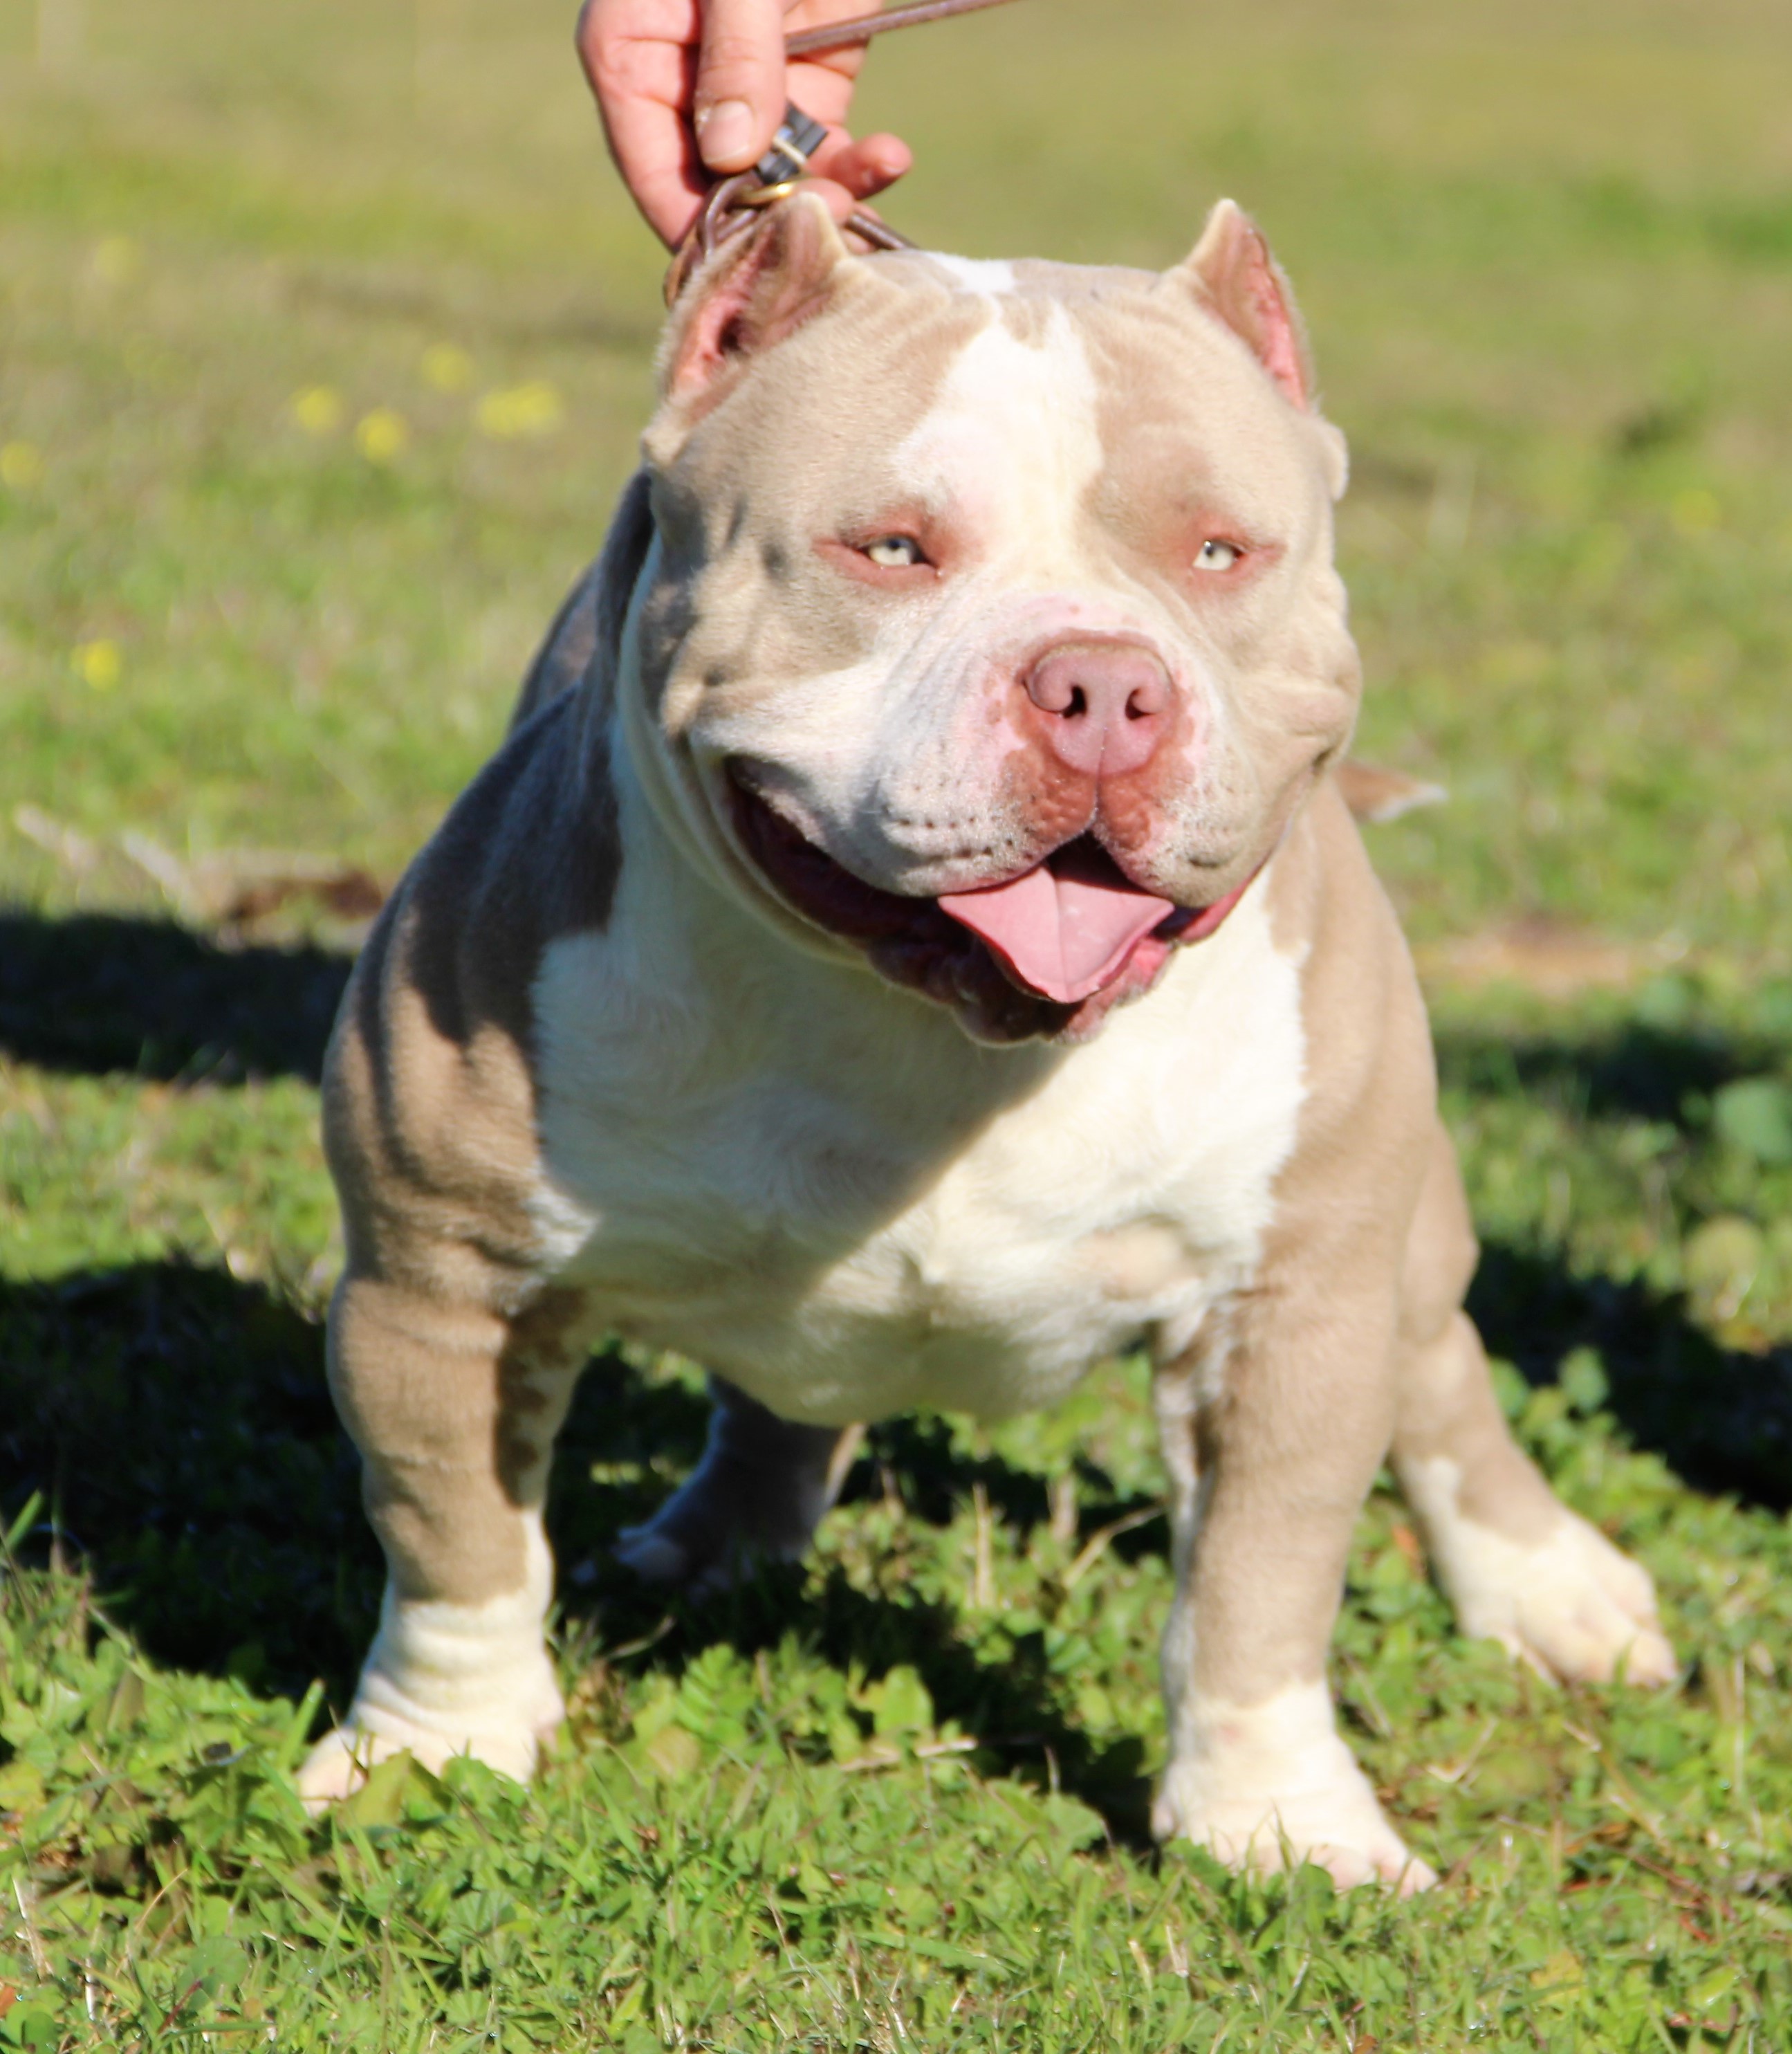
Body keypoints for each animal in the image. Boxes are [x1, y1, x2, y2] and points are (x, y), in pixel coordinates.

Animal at [297, 200, 1674, 1881]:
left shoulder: (1286, 1309)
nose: (1102, 684)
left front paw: (1278, 1819)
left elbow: (1258, 1588)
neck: (943, 1026)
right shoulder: (436, 1286)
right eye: (890, 547)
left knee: (1442, 1365)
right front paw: (436, 1749)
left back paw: (1546, 1583)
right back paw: (720, 1538)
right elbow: (455, 1545)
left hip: (1391, 1241)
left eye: (1219, 551)